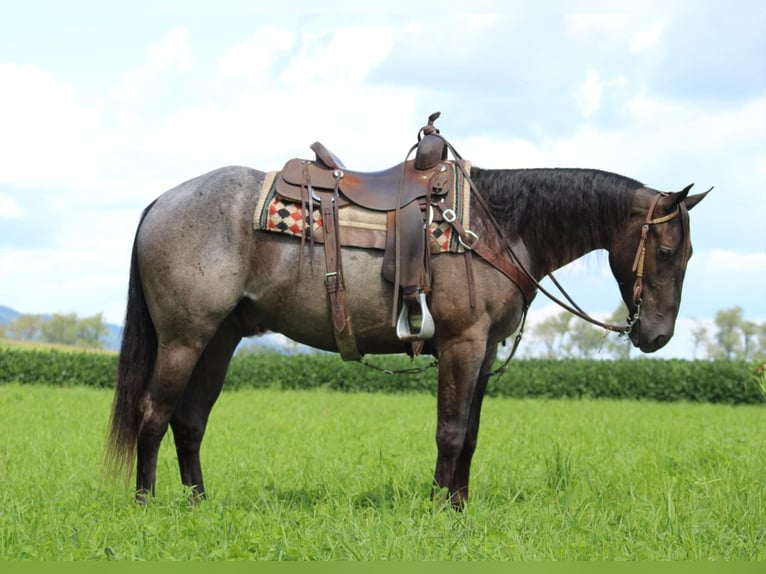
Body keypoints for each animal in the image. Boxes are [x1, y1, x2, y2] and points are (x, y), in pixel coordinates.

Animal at [105, 145, 712, 508]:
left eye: (686, 254)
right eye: (664, 251)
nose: (657, 336)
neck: (496, 224)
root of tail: (161, 202)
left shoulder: (484, 352)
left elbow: (470, 435)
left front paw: (460, 507)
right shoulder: (462, 343)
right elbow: (450, 431)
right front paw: (440, 509)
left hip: (220, 339)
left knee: (189, 421)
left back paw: (197, 504)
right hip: (184, 338)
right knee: (153, 415)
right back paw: (146, 505)